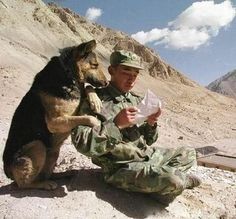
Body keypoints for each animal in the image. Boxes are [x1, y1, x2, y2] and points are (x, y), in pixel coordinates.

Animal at [1, 39, 107, 190]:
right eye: (95, 65)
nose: (107, 83)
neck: (69, 74)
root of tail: (7, 171)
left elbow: (87, 87)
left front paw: (95, 100)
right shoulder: (55, 121)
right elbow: (89, 117)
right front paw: (98, 122)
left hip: (54, 152)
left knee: (46, 173)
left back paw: (63, 174)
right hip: (37, 146)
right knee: (24, 184)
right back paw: (45, 184)